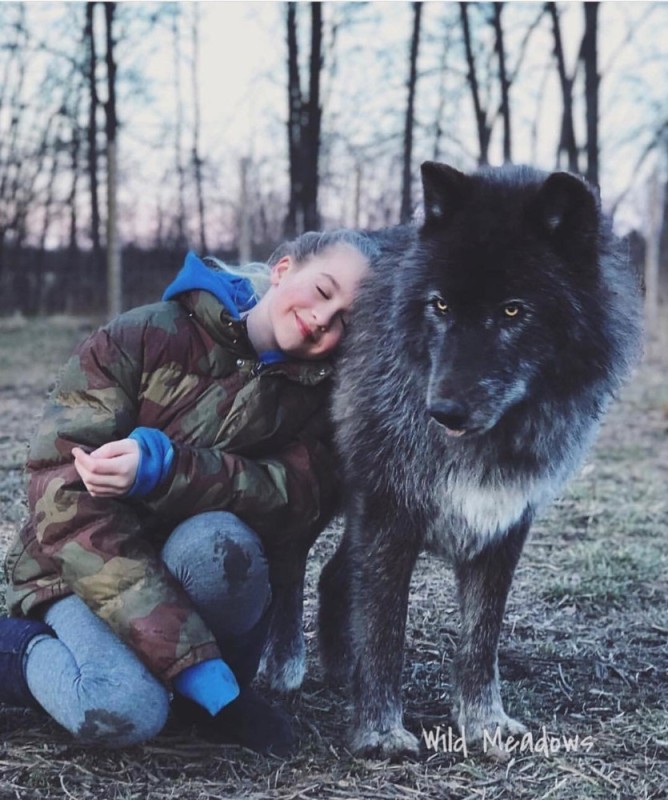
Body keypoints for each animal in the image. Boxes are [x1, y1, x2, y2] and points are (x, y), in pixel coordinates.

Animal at [318, 161, 640, 756]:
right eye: (441, 305)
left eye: (513, 310)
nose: (441, 410)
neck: (481, 446)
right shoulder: (388, 514)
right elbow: (384, 629)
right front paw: (381, 732)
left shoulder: (505, 521)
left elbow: (480, 637)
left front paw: (483, 723)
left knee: (334, 577)